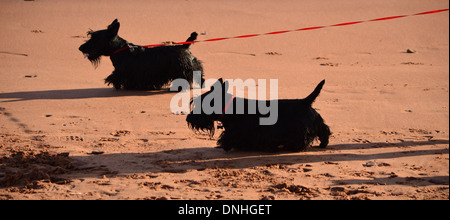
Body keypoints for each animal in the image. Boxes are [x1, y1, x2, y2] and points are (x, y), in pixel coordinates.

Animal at [186, 79, 330, 153]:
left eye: (201, 105)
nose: (188, 118)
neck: (230, 109)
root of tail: (304, 101)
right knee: (325, 131)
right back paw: (323, 144)